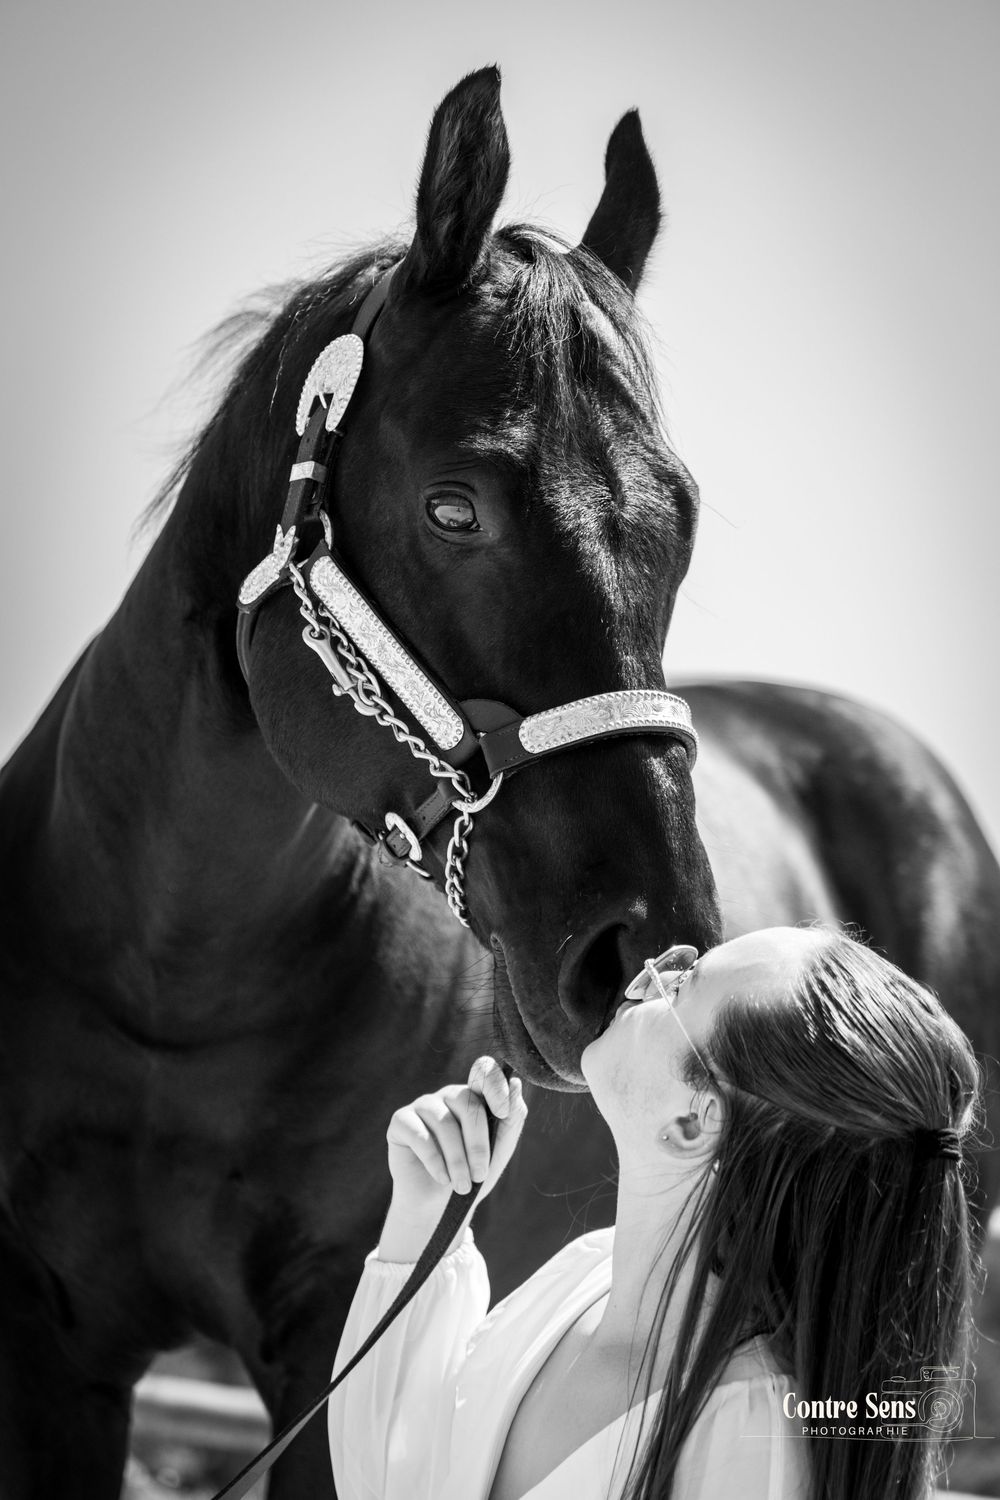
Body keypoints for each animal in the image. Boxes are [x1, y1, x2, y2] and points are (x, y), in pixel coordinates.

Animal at [0, 67, 996, 1499]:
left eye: (680, 521)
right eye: (453, 507)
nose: (642, 945)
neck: (174, 989)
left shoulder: (325, 1359)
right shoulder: (54, 1342)